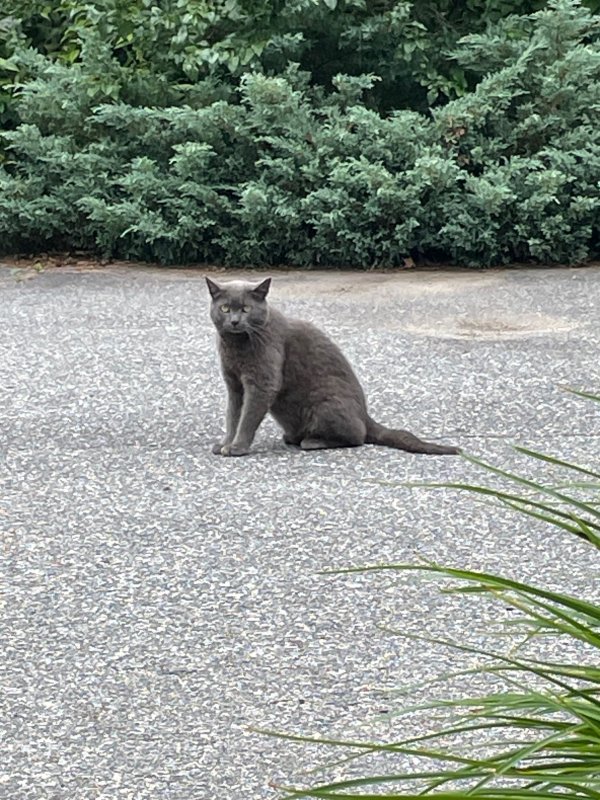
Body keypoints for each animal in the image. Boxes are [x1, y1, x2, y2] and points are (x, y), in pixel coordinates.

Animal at [206, 278, 460, 456]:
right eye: (225, 308)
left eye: (246, 309)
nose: (234, 321)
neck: (236, 347)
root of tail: (366, 416)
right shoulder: (234, 384)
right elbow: (233, 415)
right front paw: (225, 444)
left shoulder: (262, 381)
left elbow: (248, 417)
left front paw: (237, 447)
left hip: (325, 404)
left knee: (357, 437)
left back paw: (312, 441)